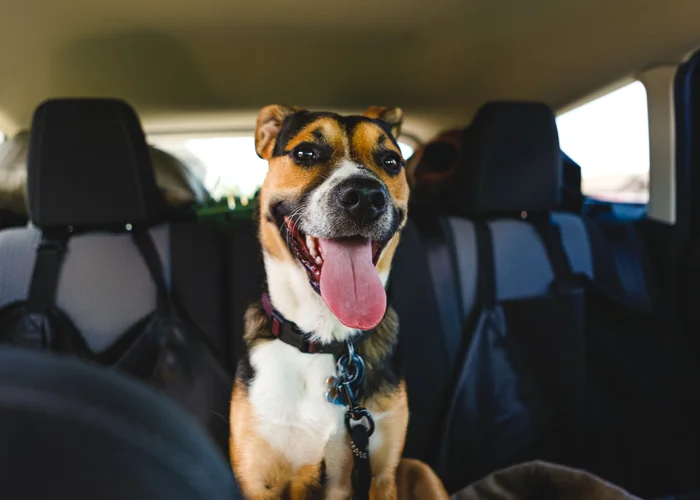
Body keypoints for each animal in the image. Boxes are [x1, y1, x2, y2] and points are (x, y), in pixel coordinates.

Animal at [230, 105, 448, 500]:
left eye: (391, 161)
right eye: (305, 153)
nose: (364, 197)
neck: (325, 337)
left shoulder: (379, 473)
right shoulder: (258, 478)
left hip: (420, 470)